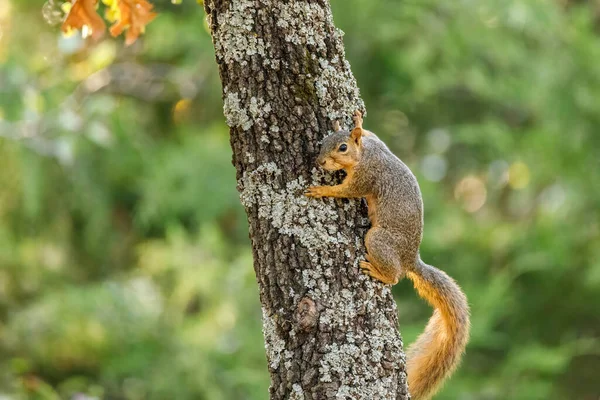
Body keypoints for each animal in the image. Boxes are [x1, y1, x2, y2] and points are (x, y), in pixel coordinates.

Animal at [308, 110, 472, 400]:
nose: (320, 161)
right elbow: (371, 133)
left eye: (342, 148)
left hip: (378, 240)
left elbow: (347, 191)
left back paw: (378, 272)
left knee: (395, 276)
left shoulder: (366, 177)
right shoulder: (377, 143)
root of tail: (410, 259)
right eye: (323, 142)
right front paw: (358, 122)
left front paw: (322, 190)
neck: (365, 154)